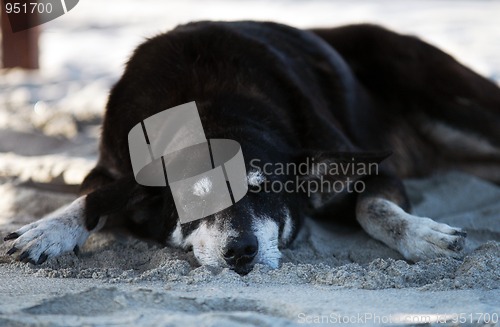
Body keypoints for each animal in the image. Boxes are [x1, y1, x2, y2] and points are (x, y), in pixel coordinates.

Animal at [4, 21, 500, 276]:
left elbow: (371, 208)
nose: (240, 250)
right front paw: (48, 229)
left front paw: (420, 234)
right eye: (193, 202)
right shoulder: (106, 169)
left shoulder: (373, 166)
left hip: (453, 110)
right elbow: (95, 198)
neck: (206, 103)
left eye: (263, 191)